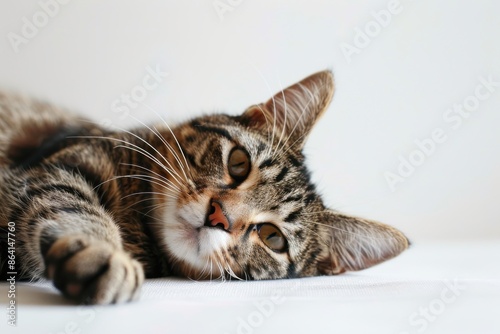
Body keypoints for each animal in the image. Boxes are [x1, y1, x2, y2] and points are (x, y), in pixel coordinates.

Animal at [0, 71, 408, 306]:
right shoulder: (59, 166)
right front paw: (102, 253)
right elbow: (72, 204)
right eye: (238, 162)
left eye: (273, 238)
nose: (219, 216)